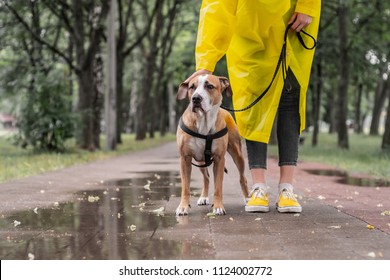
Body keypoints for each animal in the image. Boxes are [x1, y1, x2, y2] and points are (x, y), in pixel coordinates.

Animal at [175, 73, 248, 215]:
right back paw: (203, 197)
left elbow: (218, 187)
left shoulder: (219, 159)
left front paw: (218, 206)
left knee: (243, 177)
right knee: (206, 177)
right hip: (200, 161)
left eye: (209, 86)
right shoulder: (184, 158)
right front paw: (183, 206)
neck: (203, 121)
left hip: (238, 154)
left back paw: (248, 199)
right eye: (192, 87)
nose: (196, 98)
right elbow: (185, 187)